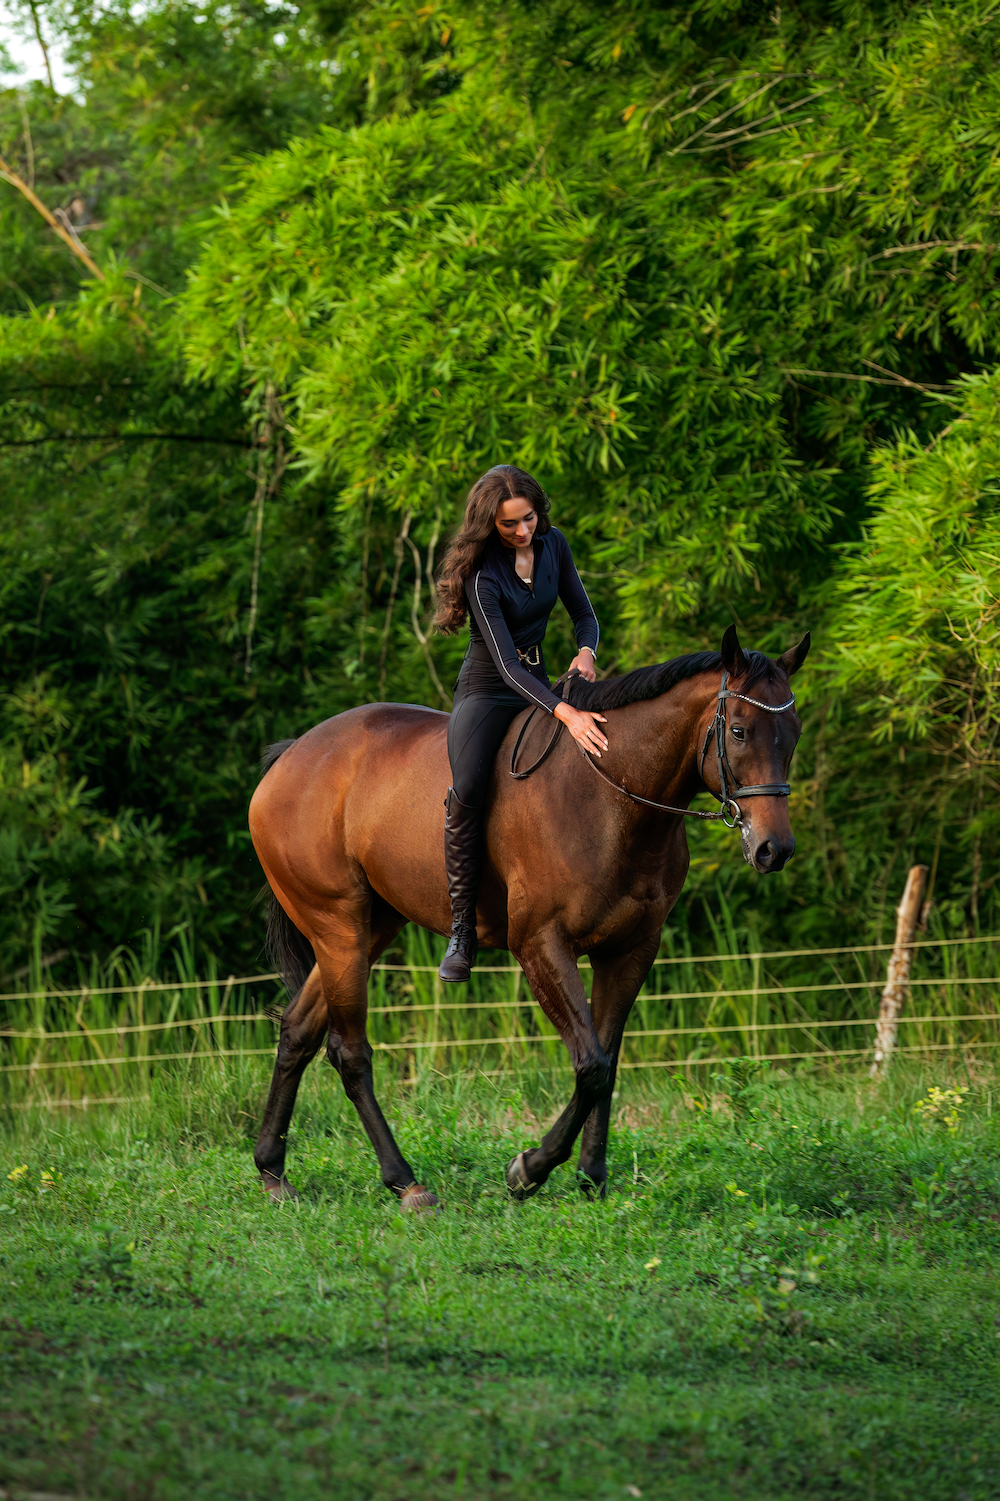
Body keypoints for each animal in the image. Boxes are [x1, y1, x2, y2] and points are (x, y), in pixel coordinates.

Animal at [249, 624, 809, 1210]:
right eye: (740, 731)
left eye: (792, 733)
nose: (774, 849)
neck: (610, 798)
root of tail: (292, 757)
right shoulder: (541, 945)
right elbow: (591, 1066)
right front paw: (530, 1169)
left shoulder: (630, 951)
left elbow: (607, 1062)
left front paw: (590, 1176)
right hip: (339, 927)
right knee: (350, 1052)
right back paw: (406, 1182)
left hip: (369, 928)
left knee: (298, 1031)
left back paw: (272, 1170)